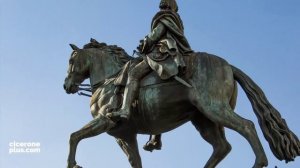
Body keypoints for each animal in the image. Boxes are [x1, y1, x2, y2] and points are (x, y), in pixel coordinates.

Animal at [63, 38, 300, 167]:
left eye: (71, 60)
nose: (67, 85)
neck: (109, 79)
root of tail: (229, 66)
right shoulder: (126, 135)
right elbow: (135, 161)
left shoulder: (106, 121)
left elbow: (74, 136)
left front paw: (72, 164)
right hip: (205, 120)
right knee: (222, 146)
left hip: (213, 108)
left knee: (247, 126)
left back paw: (259, 163)